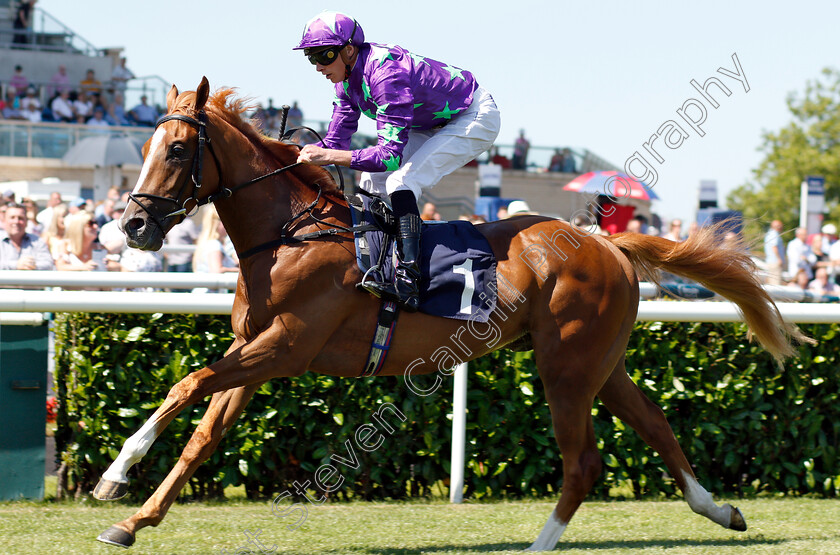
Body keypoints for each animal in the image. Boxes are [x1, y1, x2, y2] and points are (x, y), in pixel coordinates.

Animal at [92, 78, 808, 552]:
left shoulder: (286, 346)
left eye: (177, 151)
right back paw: (719, 510)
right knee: (655, 423)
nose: (132, 226)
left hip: (566, 366)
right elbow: (202, 434)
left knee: (583, 462)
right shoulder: (259, 355)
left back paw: (541, 545)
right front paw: (130, 518)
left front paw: (115, 472)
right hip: (599, 361)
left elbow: (187, 384)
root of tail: (605, 241)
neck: (290, 236)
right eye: (146, 147)